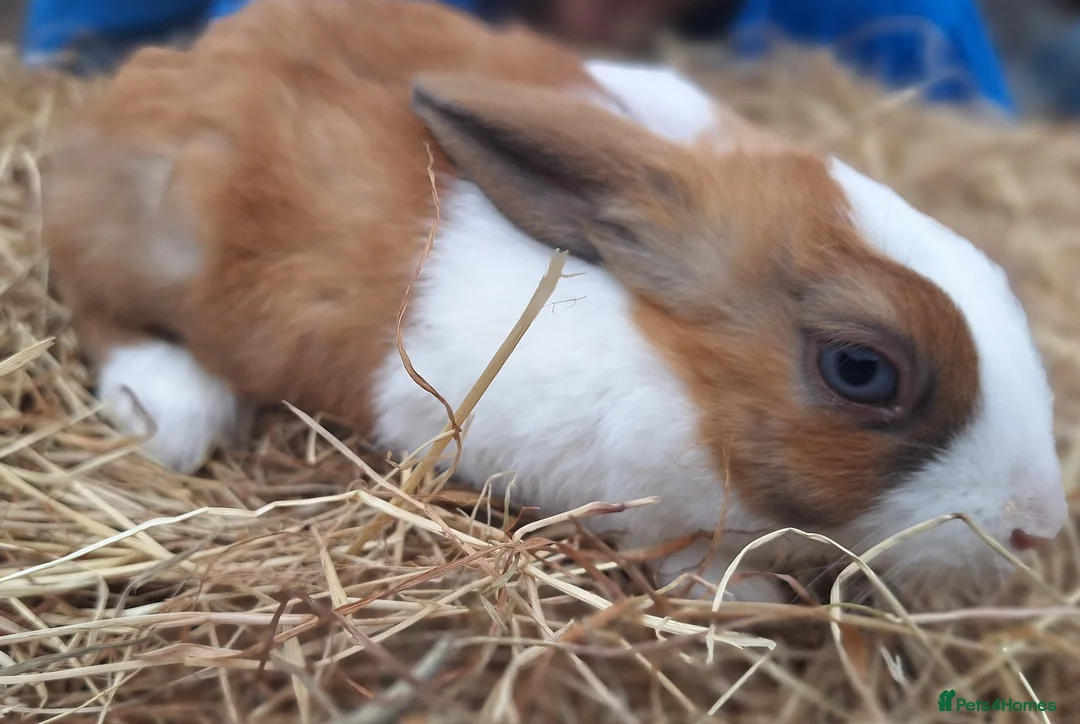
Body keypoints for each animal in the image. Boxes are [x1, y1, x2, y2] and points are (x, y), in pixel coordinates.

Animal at [41, 0, 1067, 603]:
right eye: (860, 369)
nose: (1040, 530)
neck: (675, 373)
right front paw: (744, 599)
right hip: (150, 236)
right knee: (93, 302)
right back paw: (175, 408)